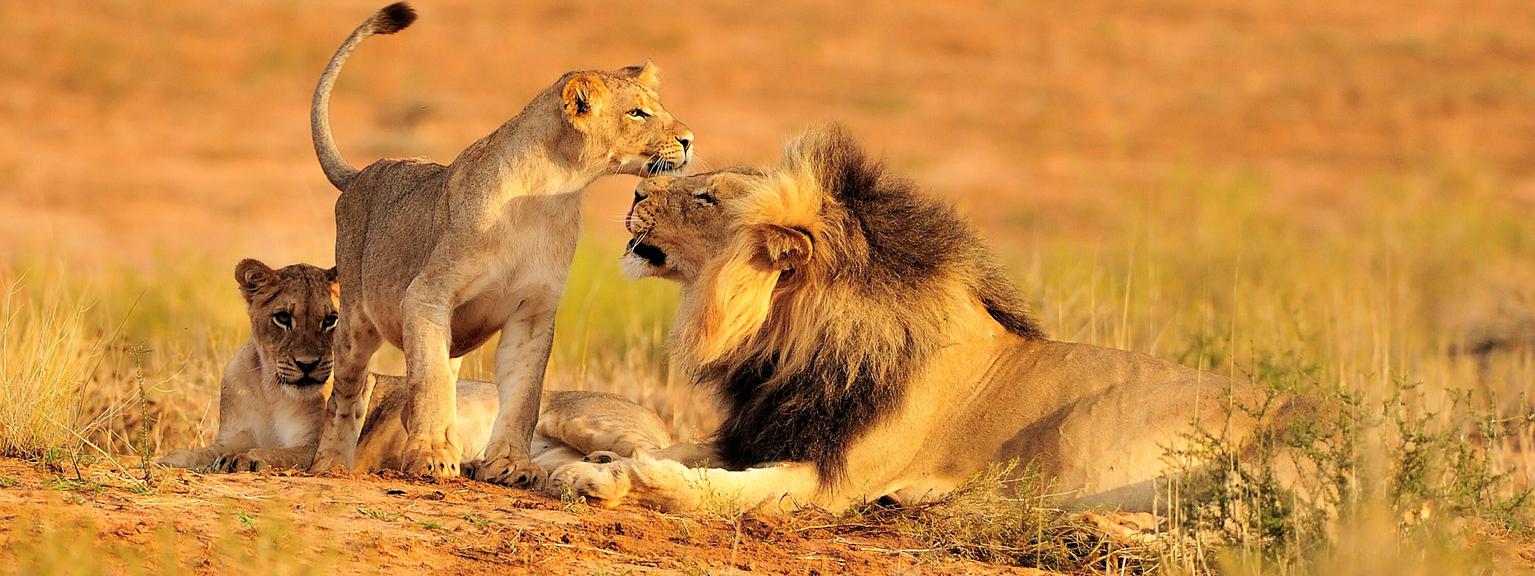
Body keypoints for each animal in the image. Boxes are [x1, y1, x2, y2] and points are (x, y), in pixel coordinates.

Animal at [160, 260, 673, 487]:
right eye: (283, 318)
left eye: (330, 321)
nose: (308, 365)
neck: (272, 387)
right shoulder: (230, 431)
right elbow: (199, 450)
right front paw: (171, 460)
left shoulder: (318, 446)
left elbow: (274, 453)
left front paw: (245, 460)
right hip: (550, 454)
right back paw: (482, 466)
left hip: (574, 417)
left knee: (660, 452)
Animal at [306, 3, 694, 485]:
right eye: (638, 113)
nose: (689, 140)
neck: (552, 193)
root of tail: (364, 172)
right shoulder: (427, 295)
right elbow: (429, 381)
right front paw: (433, 457)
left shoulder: (532, 311)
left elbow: (524, 395)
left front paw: (510, 464)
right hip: (357, 322)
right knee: (347, 392)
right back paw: (330, 464)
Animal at [552, 126, 1306, 513]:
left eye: (706, 197)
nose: (635, 194)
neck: (791, 342)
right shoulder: (766, 430)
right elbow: (684, 448)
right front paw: (602, 466)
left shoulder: (833, 480)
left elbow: (723, 488)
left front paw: (637, 477)